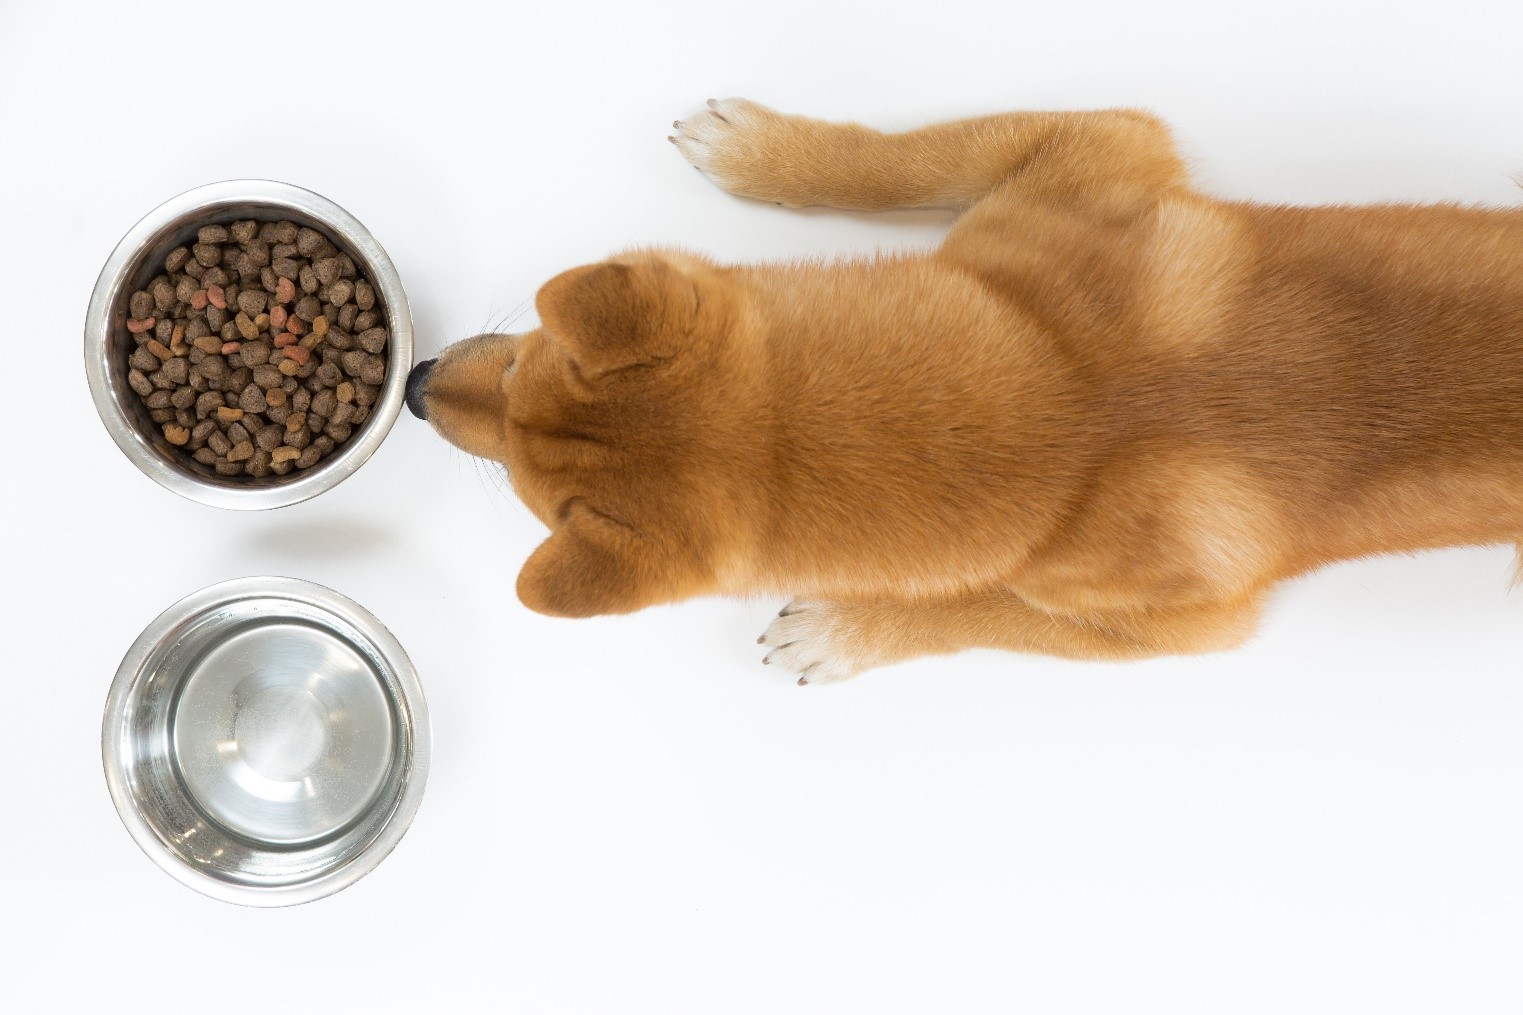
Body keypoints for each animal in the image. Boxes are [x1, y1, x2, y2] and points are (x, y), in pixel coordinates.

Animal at [402, 96, 1523, 679]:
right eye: (522, 360)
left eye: (528, 493)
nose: (413, 382)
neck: (1078, 401)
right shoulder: (1091, 151)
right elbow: (900, 164)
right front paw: (764, 149)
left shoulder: (1183, 625)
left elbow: (981, 612)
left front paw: (847, 630)